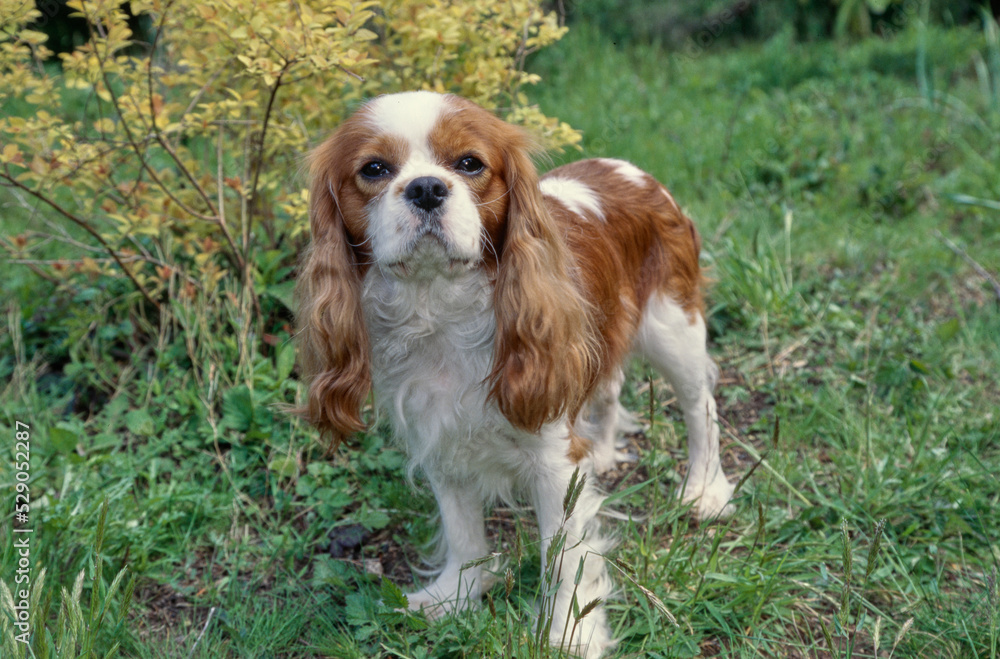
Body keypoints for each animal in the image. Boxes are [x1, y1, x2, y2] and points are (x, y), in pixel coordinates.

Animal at [294, 90, 736, 656]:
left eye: (469, 164)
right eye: (373, 169)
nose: (426, 188)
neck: (439, 307)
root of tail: (630, 170)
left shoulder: (553, 460)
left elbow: (564, 560)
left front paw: (568, 634)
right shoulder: (440, 441)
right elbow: (463, 534)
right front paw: (455, 598)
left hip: (672, 327)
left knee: (701, 405)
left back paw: (705, 490)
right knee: (609, 385)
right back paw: (605, 450)